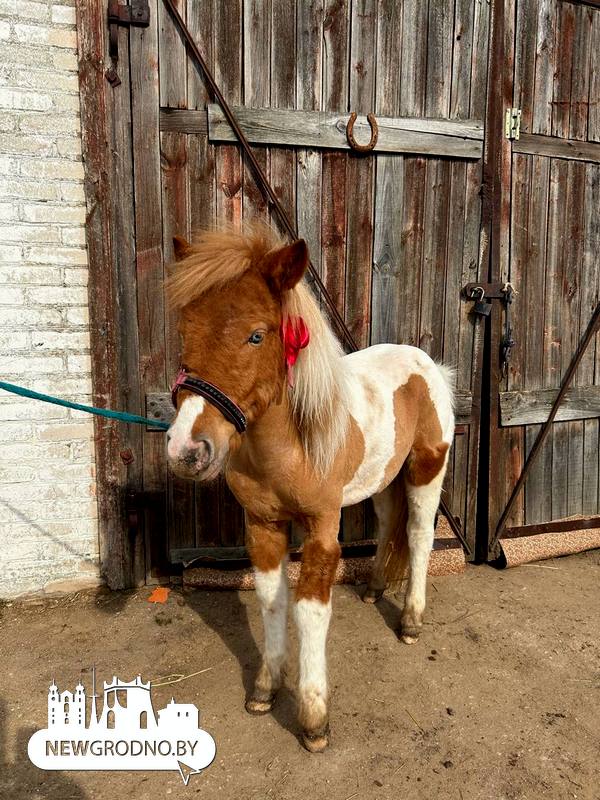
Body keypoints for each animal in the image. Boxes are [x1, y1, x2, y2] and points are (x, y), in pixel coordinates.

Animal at [165, 223, 454, 752]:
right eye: (184, 332)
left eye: (257, 335)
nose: (187, 450)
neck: (288, 446)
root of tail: (428, 364)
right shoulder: (262, 526)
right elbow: (271, 600)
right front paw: (265, 688)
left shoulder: (322, 531)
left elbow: (310, 612)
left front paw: (313, 719)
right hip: (381, 480)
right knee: (389, 525)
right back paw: (375, 588)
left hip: (427, 468)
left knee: (420, 535)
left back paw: (410, 621)